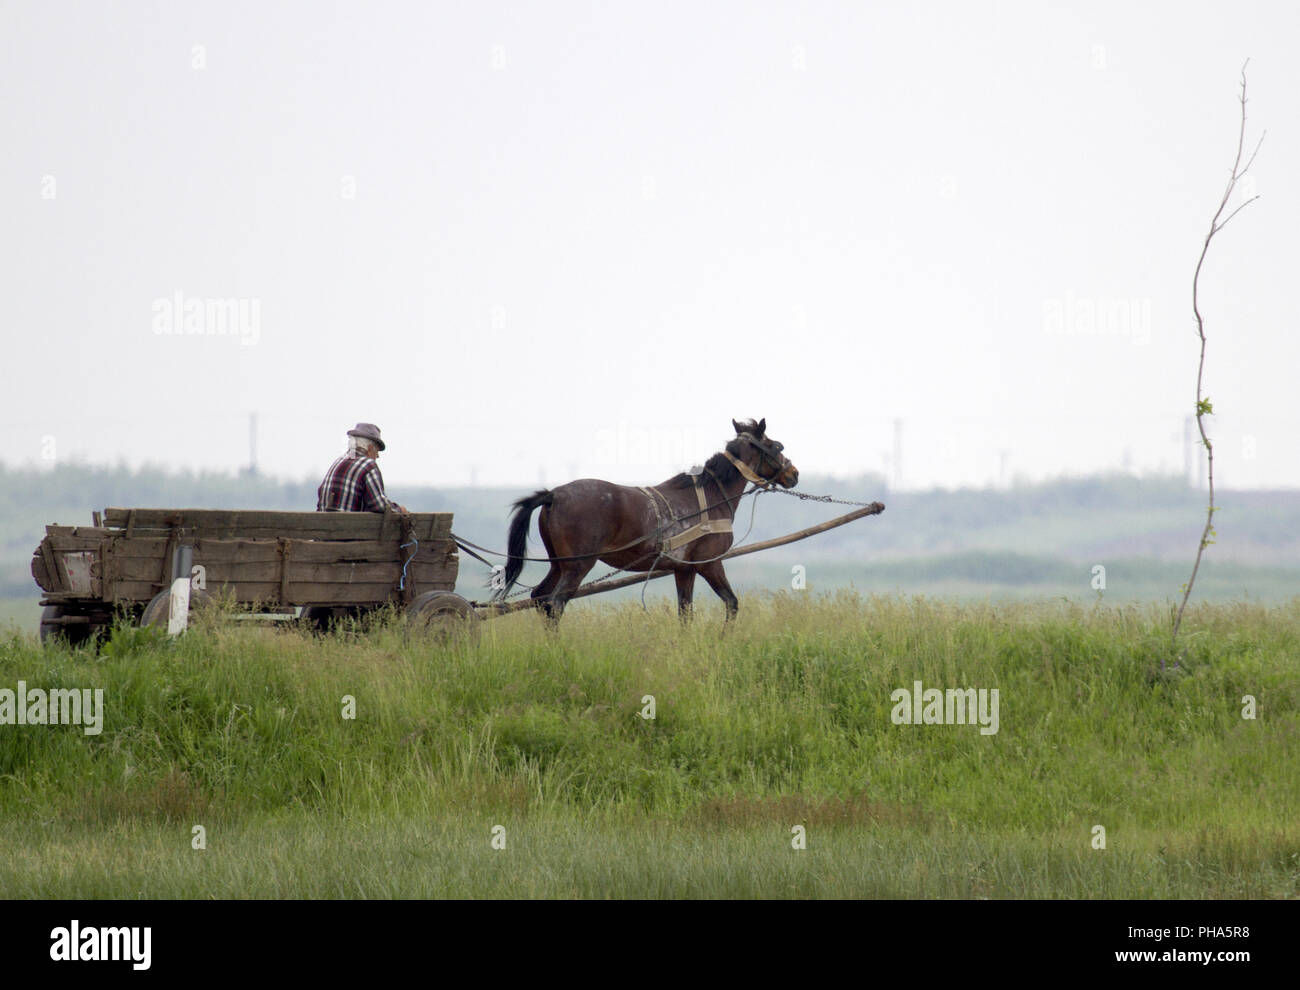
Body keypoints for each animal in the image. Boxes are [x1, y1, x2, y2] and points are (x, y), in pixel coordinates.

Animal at [496, 418, 795, 623]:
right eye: (775, 446)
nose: (794, 474)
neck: (710, 496)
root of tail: (554, 495)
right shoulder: (709, 563)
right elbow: (731, 603)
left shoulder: (683, 569)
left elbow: (685, 613)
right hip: (577, 565)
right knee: (555, 604)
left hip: (559, 564)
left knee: (540, 598)